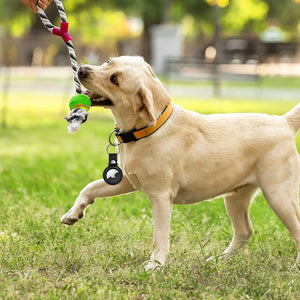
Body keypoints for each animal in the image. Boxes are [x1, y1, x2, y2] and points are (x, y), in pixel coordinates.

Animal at [61, 55, 300, 270]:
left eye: (114, 79)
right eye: (109, 61)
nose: (82, 69)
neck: (149, 129)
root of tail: (283, 122)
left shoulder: (161, 196)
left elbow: (159, 234)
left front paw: (156, 264)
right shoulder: (127, 180)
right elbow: (90, 187)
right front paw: (73, 214)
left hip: (278, 194)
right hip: (236, 197)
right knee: (244, 231)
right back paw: (219, 260)